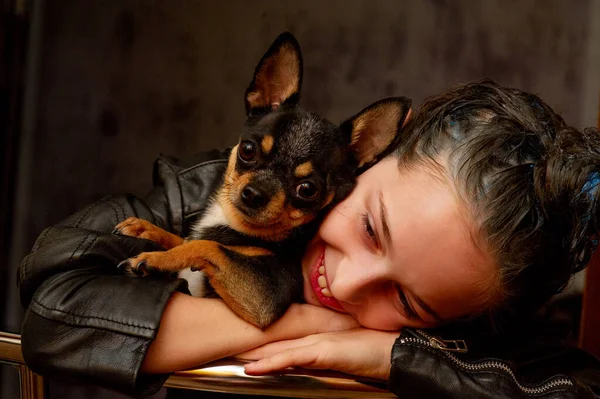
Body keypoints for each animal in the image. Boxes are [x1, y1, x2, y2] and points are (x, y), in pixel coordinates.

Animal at [115, 32, 410, 330]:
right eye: (247, 150)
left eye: (307, 190)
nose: (254, 194)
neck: (235, 224)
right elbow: (187, 239)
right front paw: (148, 230)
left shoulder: (267, 294)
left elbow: (208, 245)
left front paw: (156, 259)